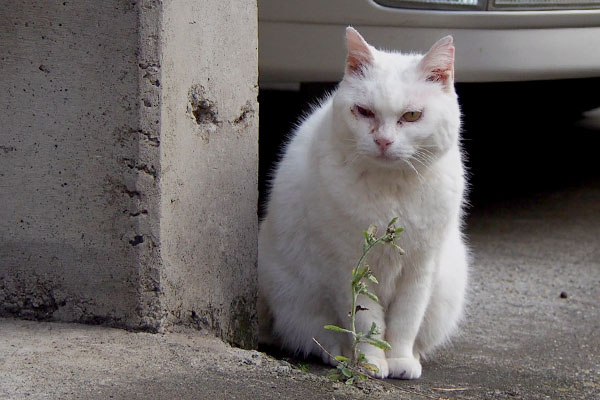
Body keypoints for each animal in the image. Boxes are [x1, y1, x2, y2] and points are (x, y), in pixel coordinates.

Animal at [258, 27, 468, 378]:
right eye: (364, 112)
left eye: (412, 116)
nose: (383, 141)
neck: (392, 191)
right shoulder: (348, 266)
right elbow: (366, 318)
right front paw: (371, 362)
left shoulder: (421, 267)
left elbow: (406, 320)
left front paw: (400, 360)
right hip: (296, 295)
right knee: (315, 335)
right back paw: (341, 355)